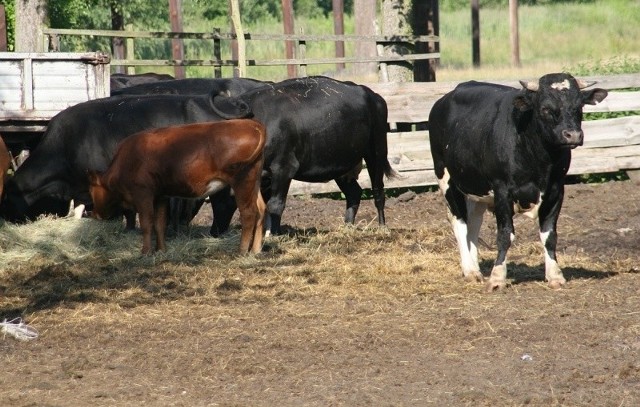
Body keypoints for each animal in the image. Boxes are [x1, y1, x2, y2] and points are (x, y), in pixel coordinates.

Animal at [88, 119, 264, 255]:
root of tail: (251, 123)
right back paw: (255, 250)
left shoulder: (142, 193)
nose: (94, 214)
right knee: (261, 210)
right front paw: (161, 250)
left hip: (243, 180)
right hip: (254, 182)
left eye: (92, 190)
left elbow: (146, 223)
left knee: (249, 213)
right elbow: (160, 223)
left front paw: (145, 252)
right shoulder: (161, 196)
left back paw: (241, 251)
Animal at [206, 76, 396, 236]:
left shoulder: (284, 168)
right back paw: (347, 227)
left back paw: (382, 228)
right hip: (342, 163)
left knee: (378, 191)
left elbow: (275, 204)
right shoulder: (264, 177)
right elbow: (264, 206)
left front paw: (273, 235)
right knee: (354, 193)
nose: (214, 231)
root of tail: (372, 94)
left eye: (221, 197)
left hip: (376, 152)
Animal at [428, 71, 608, 292]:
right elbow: (505, 235)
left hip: (476, 188)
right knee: (459, 222)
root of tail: (444, 100)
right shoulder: (502, 190)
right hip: (446, 177)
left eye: (579, 106)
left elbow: (549, 235)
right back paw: (470, 271)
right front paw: (497, 278)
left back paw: (475, 266)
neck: (540, 159)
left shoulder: (556, 190)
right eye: (545, 108)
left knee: (473, 223)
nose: (572, 135)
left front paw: (555, 275)